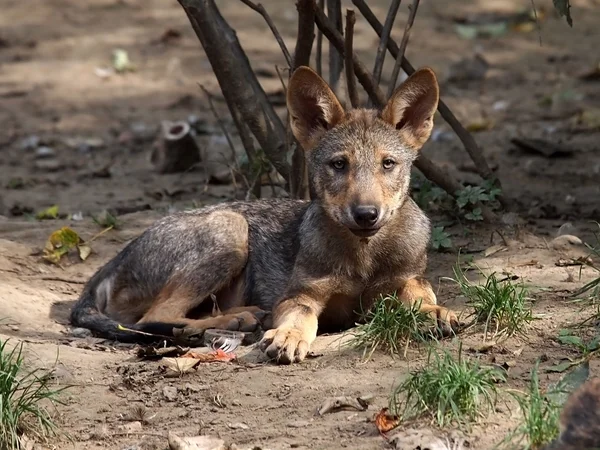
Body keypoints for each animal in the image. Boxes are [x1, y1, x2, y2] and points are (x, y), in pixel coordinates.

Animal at [69, 65, 460, 364]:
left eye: (388, 164)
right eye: (338, 165)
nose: (366, 214)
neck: (363, 257)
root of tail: (115, 259)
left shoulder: (407, 279)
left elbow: (419, 296)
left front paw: (436, 313)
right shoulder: (300, 296)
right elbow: (301, 319)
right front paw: (288, 336)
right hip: (231, 229)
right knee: (153, 317)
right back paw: (237, 320)